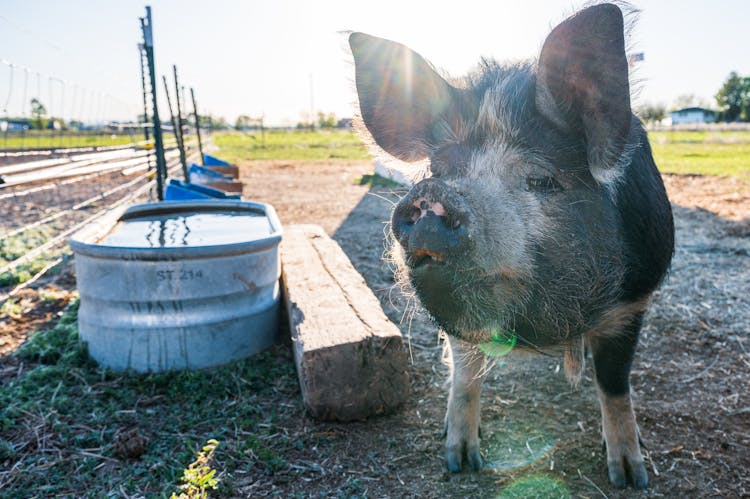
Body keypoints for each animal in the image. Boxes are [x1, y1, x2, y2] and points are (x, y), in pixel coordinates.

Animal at [352, 1, 676, 490]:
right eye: (438, 169)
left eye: (541, 179)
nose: (434, 195)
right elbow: (465, 376)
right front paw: (460, 462)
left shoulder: (633, 302)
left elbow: (615, 385)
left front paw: (630, 478)